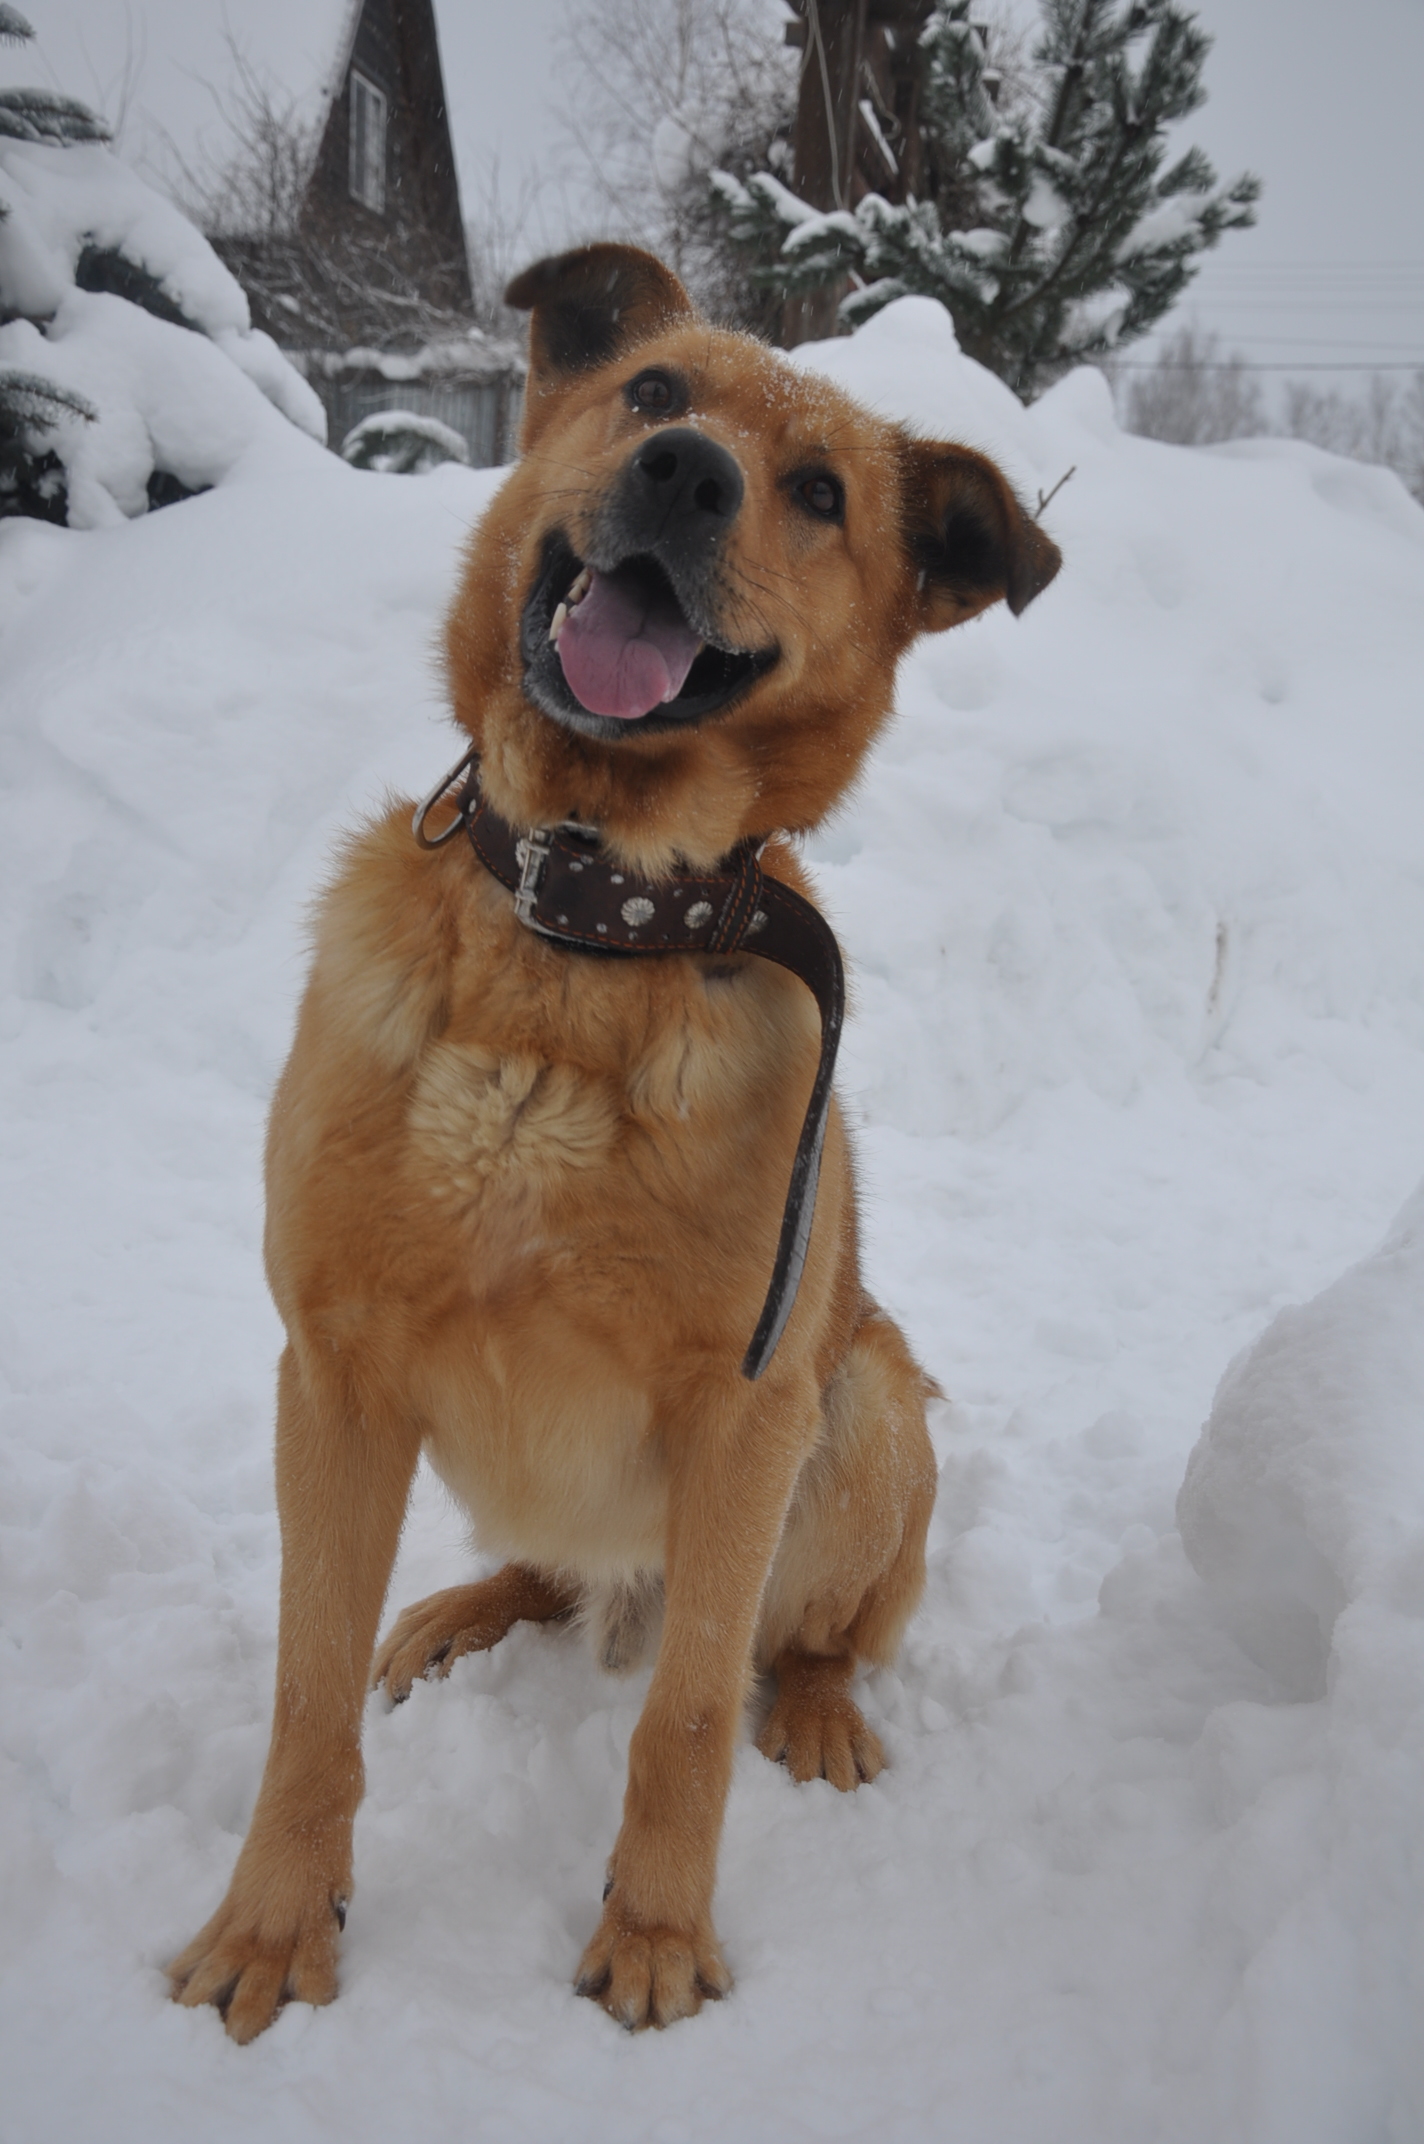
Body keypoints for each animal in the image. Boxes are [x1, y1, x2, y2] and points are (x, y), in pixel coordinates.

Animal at [169, 243, 1055, 2032]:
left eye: (818, 493)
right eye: (653, 395)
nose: (686, 475)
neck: (580, 928)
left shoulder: (743, 1411)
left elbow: (689, 1717)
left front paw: (653, 1931)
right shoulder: (336, 1375)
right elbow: (305, 1698)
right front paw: (277, 1919)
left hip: (859, 1404)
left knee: (793, 1638)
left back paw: (819, 1705)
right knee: (544, 1573)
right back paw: (462, 1609)